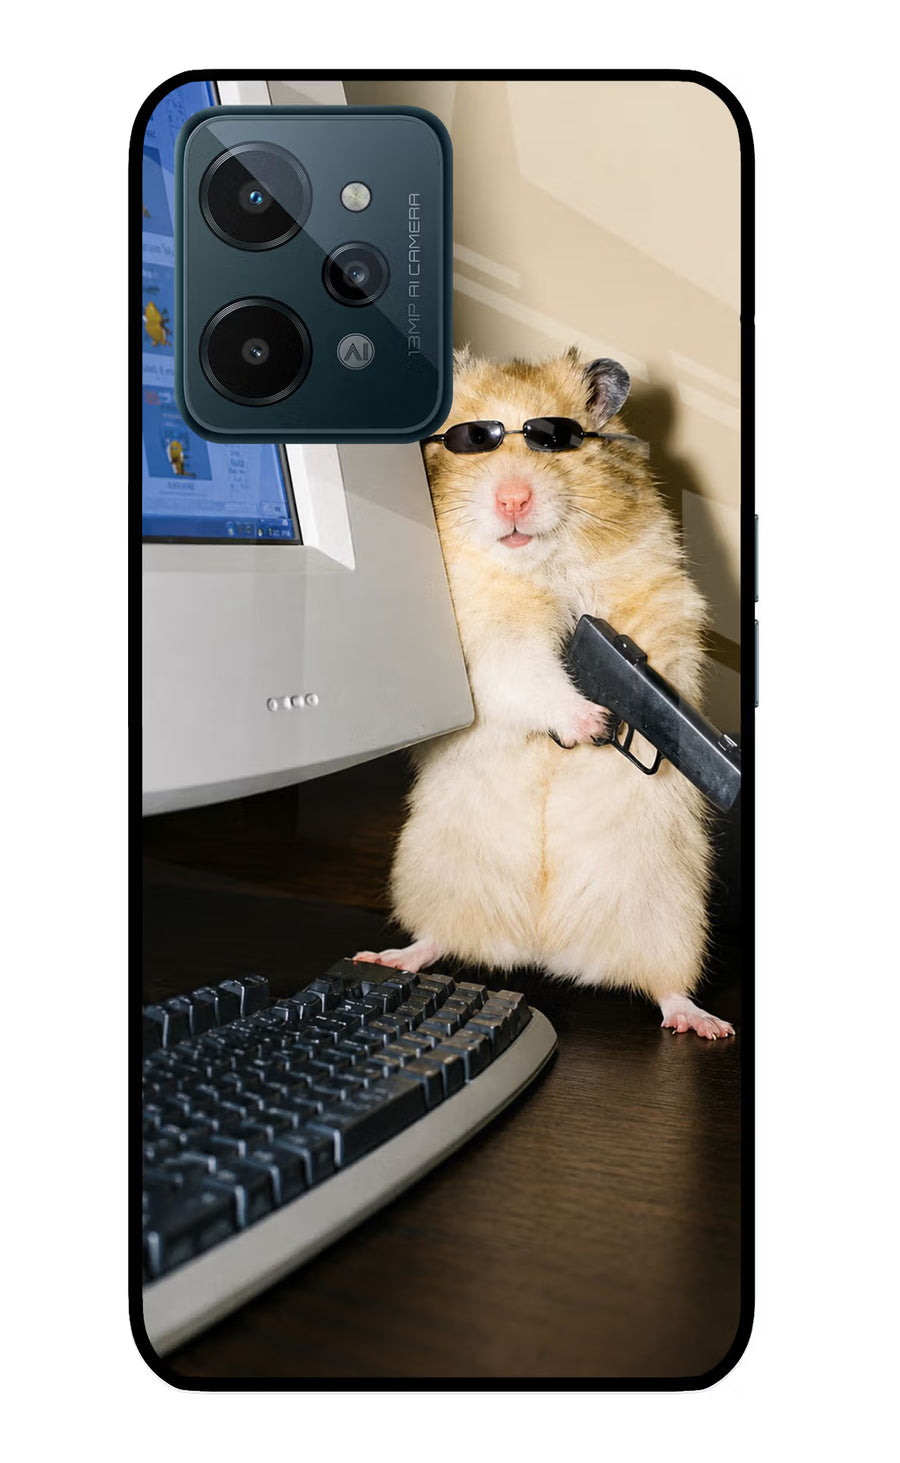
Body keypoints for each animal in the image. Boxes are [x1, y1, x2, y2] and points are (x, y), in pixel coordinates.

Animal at [357, 348, 734, 1039]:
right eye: (471, 440)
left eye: (554, 439)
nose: (513, 499)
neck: (538, 565)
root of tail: (542, 947)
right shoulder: (484, 641)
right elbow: (528, 674)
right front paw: (591, 723)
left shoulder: (659, 599)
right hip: (434, 874)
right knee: (438, 938)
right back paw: (389, 956)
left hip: (669, 912)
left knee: (665, 985)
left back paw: (704, 1023)